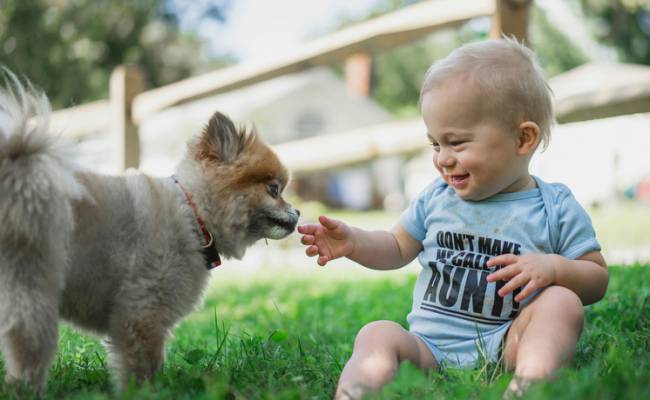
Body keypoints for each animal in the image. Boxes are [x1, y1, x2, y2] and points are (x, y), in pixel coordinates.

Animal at [0, 72, 298, 390]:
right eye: (274, 190)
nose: (299, 212)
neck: (194, 216)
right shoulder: (143, 310)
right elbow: (143, 362)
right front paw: (147, 391)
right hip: (33, 285)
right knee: (29, 343)